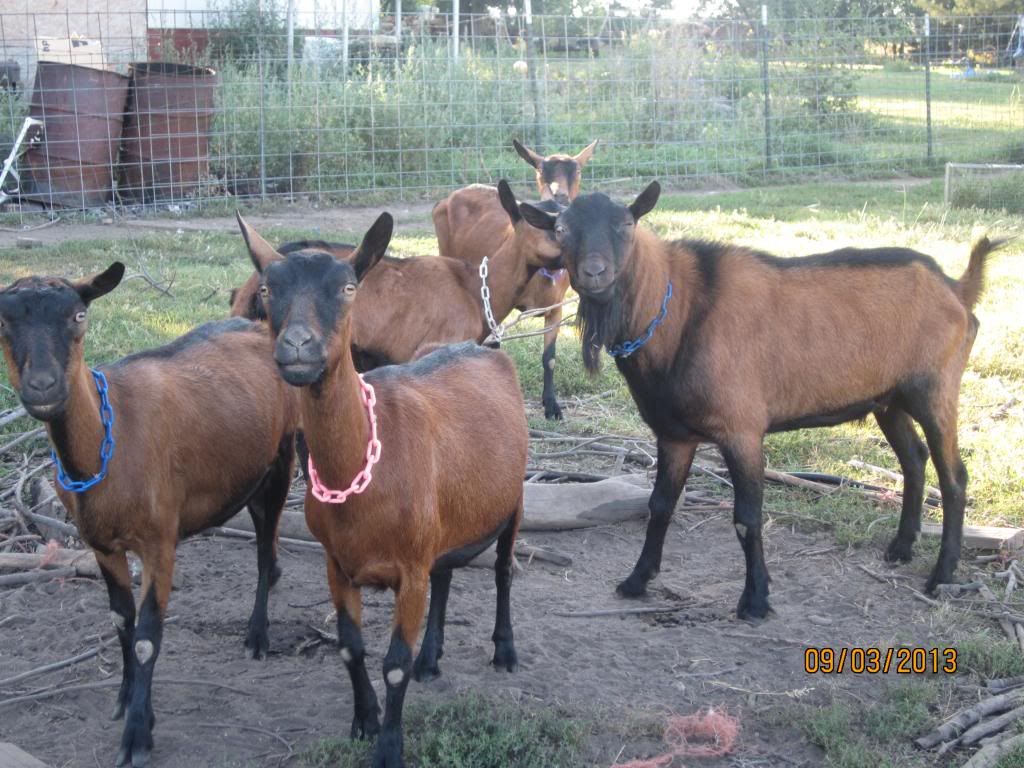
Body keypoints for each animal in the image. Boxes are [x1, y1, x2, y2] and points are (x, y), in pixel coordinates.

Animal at [0, 268, 297, 766]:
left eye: (79, 316)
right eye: (3, 321)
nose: (43, 387)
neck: (111, 436)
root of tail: (258, 327)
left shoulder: (160, 542)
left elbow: (145, 636)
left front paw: (139, 734)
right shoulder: (100, 543)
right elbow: (122, 622)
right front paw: (125, 700)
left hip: (282, 457)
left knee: (263, 549)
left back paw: (257, 636)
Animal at [241, 213, 528, 768]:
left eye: (349, 287)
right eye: (267, 289)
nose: (297, 347)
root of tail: (484, 348)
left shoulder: (409, 570)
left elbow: (395, 662)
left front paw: (390, 747)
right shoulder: (337, 565)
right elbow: (350, 648)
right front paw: (364, 721)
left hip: (515, 498)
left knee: (503, 571)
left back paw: (505, 650)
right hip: (447, 515)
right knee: (446, 574)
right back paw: (433, 659)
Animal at [431, 139, 597, 419]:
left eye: (577, 171)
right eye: (541, 171)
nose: (560, 196)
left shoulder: (556, 308)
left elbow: (550, 357)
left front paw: (551, 405)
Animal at [521, 183, 999, 619]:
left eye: (626, 224)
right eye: (561, 229)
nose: (594, 272)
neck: (681, 311)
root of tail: (957, 289)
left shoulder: (742, 430)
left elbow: (746, 517)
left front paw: (755, 599)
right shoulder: (673, 434)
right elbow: (660, 506)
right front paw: (637, 580)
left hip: (934, 389)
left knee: (954, 477)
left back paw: (942, 575)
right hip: (889, 400)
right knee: (914, 459)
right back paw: (900, 547)